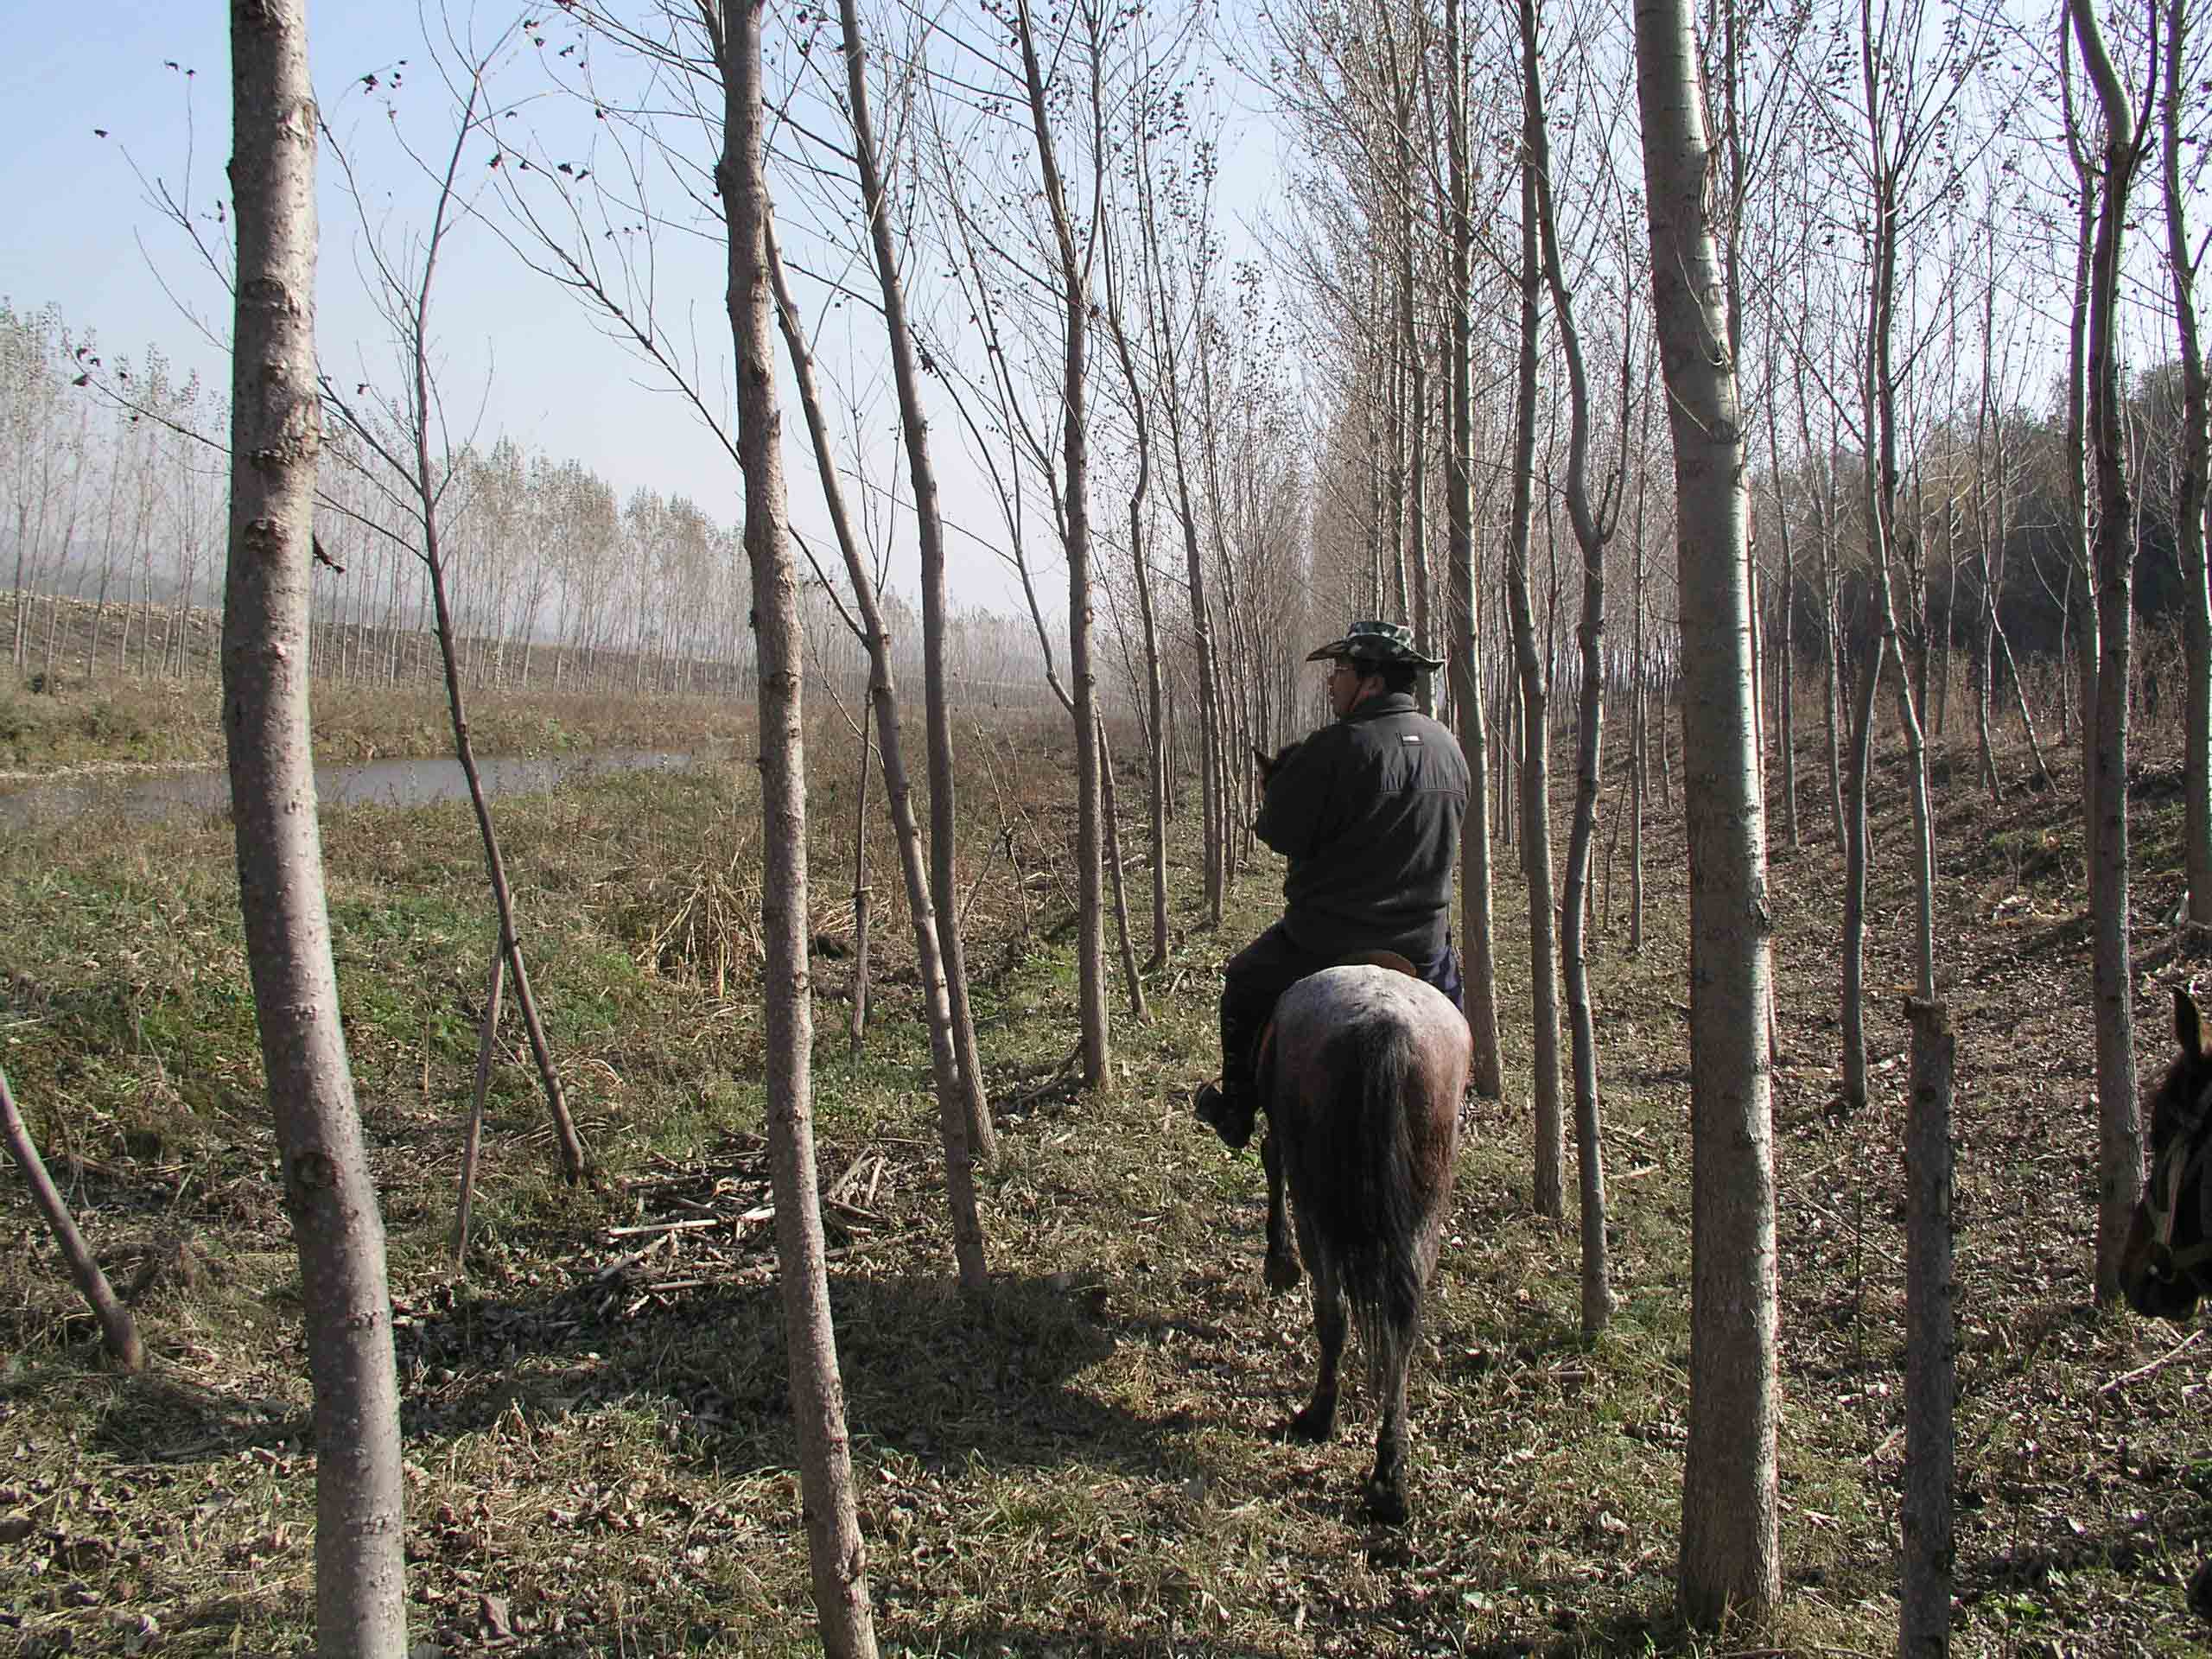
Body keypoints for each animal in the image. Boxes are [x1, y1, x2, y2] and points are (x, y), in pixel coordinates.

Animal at [1247, 960, 1468, 1522]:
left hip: (1319, 1204)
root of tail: (1383, 1027)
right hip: (1426, 1205)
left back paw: (1320, 1415)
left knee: (1334, 1313)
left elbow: (1271, 1158)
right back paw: (1390, 1477)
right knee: (1402, 1323)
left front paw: (1279, 1263)